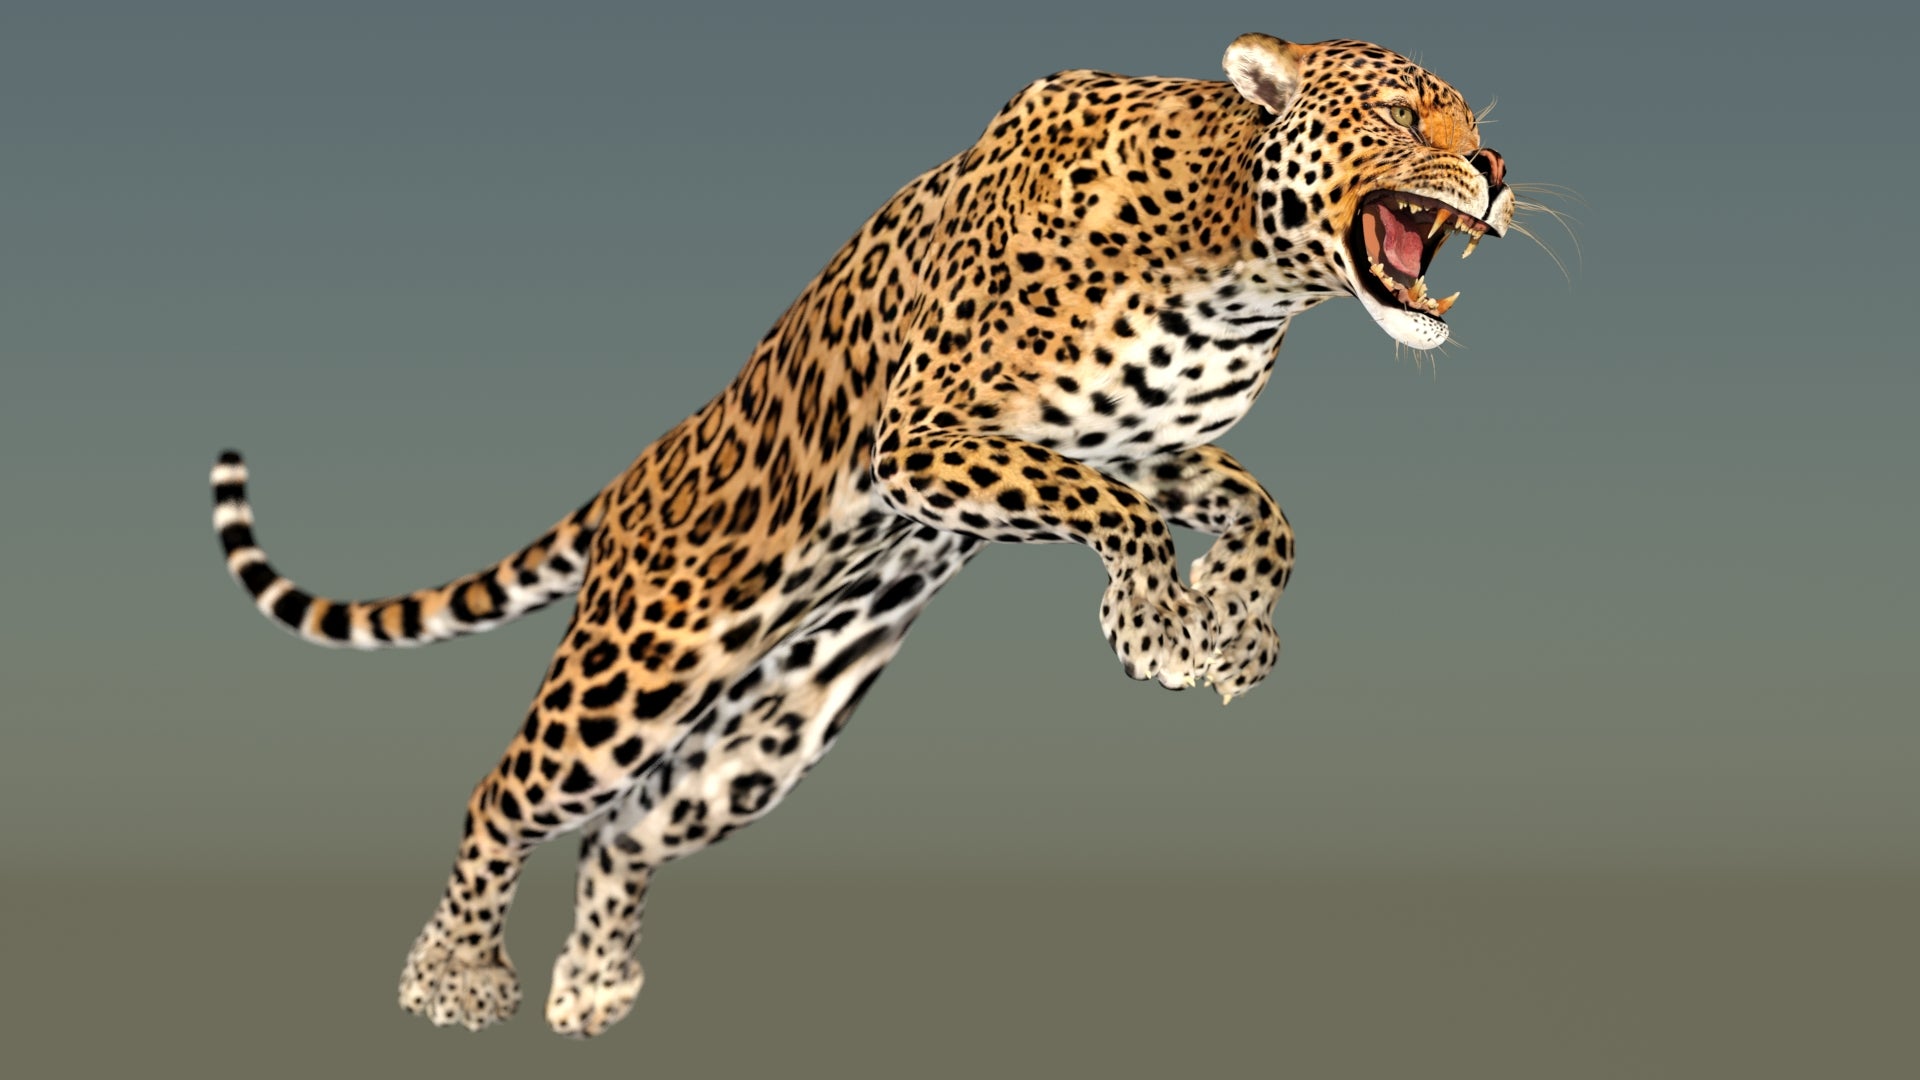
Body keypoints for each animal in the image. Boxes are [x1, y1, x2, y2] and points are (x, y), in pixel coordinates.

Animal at [209, 33, 1514, 1038]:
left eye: (1470, 119)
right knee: (506, 794)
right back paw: (454, 975)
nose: (1498, 169)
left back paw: (591, 990)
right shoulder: (926, 436)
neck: (1240, 262)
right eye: (1402, 113)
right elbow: (1119, 512)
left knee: (621, 835)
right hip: (642, 664)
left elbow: (1259, 507)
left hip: (769, 733)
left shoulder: (1137, 438)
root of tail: (635, 478)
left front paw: (1232, 628)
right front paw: (1156, 627)